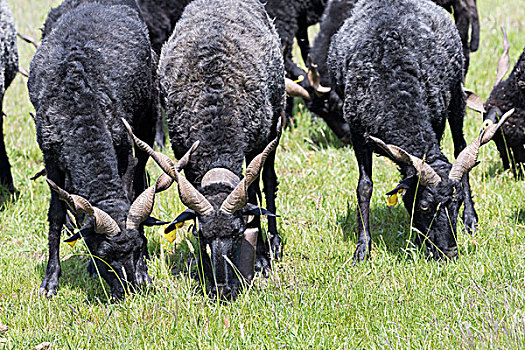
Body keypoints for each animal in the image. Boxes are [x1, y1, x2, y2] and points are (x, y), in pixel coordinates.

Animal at [26, 1, 161, 300]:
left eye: (137, 247)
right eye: (103, 255)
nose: (130, 290)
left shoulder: (124, 149)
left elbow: (130, 192)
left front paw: (144, 272)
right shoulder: (51, 159)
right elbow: (56, 215)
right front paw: (50, 280)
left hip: (148, 118)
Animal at [326, 0, 502, 262]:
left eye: (458, 201)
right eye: (425, 205)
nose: (450, 252)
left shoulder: (436, 120)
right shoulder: (357, 132)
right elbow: (365, 187)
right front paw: (363, 248)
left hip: (456, 95)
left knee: (460, 145)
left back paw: (470, 221)